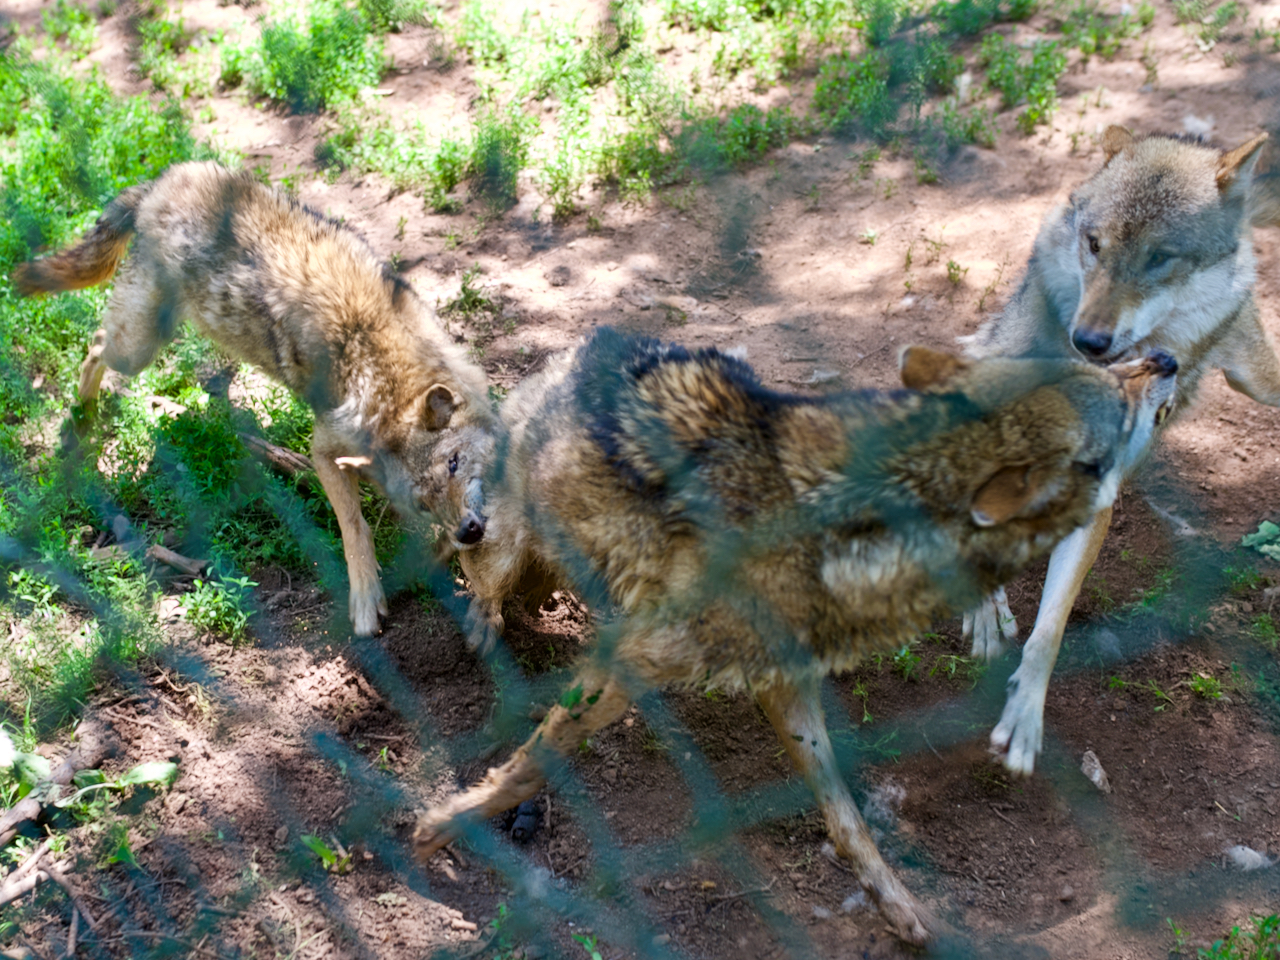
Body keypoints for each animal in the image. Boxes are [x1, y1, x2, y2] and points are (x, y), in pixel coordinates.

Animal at [13, 162, 494, 637]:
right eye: (423, 502)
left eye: (453, 464)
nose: (470, 531)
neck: (379, 358)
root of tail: (160, 182)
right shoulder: (326, 450)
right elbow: (354, 529)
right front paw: (365, 601)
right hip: (137, 348)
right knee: (94, 344)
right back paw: (79, 424)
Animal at [412, 327, 1178, 944]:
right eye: (1115, 414)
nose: (1166, 358)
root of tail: (575, 350)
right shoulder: (629, 662)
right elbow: (531, 762)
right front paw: (444, 826)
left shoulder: (785, 683)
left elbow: (847, 818)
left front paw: (899, 908)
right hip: (499, 543)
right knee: (482, 587)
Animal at [959, 126, 1280, 777]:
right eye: (1094, 245)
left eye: (1160, 258)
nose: (1088, 340)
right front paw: (983, 609)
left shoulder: (1091, 501)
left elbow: (1050, 631)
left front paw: (1025, 717)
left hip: (1257, 380)